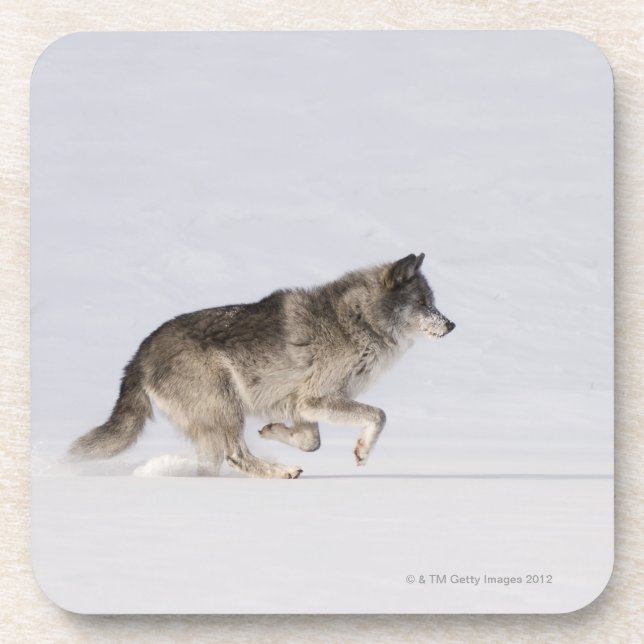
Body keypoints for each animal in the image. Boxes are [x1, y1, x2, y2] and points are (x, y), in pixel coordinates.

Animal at [69, 253, 454, 478]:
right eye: (423, 304)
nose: (451, 325)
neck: (358, 321)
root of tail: (139, 354)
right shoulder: (316, 398)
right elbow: (378, 415)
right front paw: (362, 452)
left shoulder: (302, 405)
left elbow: (310, 441)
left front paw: (273, 431)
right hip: (227, 406)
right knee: (236, 455)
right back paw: (282, 472)